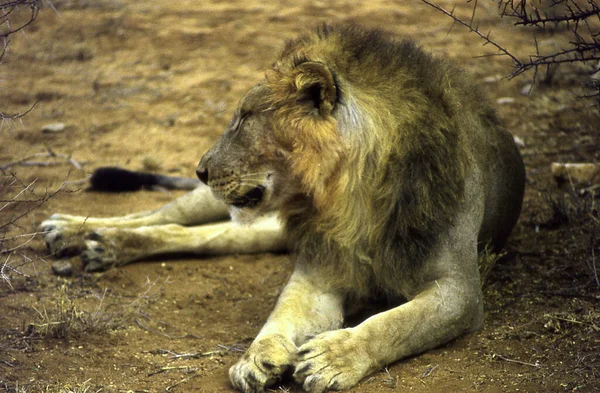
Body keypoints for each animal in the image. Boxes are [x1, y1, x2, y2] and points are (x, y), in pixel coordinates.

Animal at [41, 25, 524, 392]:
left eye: (243, 119)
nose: (200, 168)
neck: (347, 198)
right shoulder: (318, 270)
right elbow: (280, 315)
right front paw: (256, 358)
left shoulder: (459, 292)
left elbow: (394, 324)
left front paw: (332, 358)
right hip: (213, 204)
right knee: (163, 215)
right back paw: (74, 231)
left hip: (256, 229)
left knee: (194, 236)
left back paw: (100, 244)